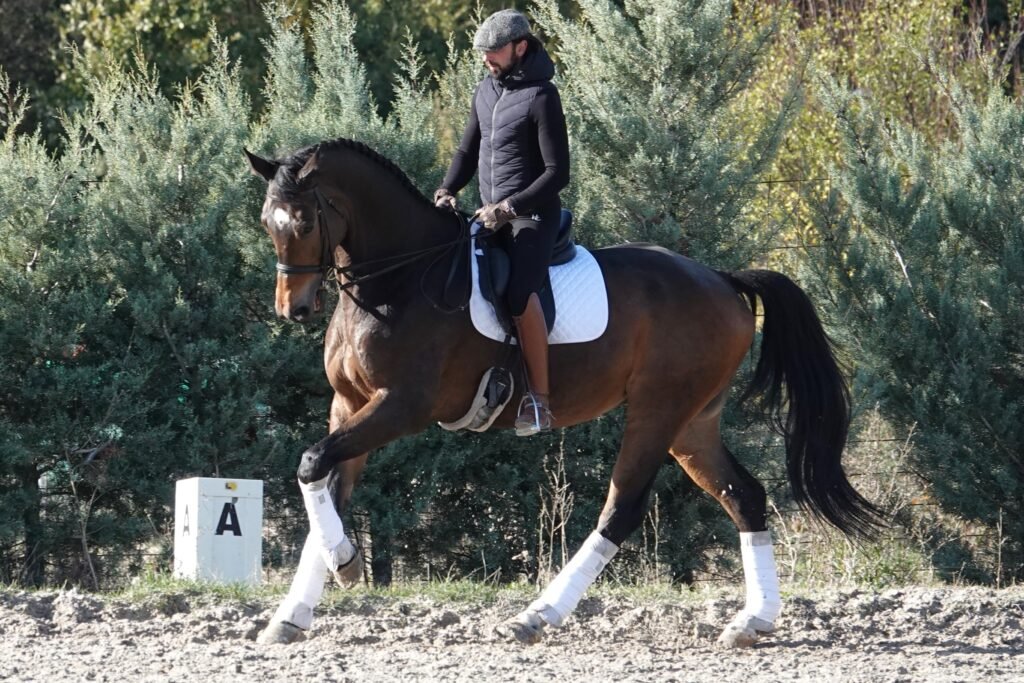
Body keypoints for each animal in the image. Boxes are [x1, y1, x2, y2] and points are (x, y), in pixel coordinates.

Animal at [244, 138, 881, 648]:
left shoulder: (402, 406)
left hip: (658, 409)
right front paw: (294, 613)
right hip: (693, 423)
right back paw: (753, 621)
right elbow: (326, 487)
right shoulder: (350, 406)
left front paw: (346, 562)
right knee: (744, 496)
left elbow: (311, 464)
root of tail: (723, 281)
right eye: (267, 223)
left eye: (303, 223)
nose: (293, 309)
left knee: (621, 509)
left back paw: (538, 615)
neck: (398, 279)